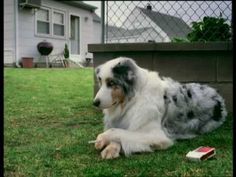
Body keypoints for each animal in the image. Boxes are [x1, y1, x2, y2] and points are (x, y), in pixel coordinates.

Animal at [92, 57, 227, 160]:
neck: (134, 99)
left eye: (111, 83)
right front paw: (111, 148)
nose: (95, 103)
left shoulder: (156, 135)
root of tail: (218, 95)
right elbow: (120, 131)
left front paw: (102, 138)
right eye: (100, 82)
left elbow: (118, 131)